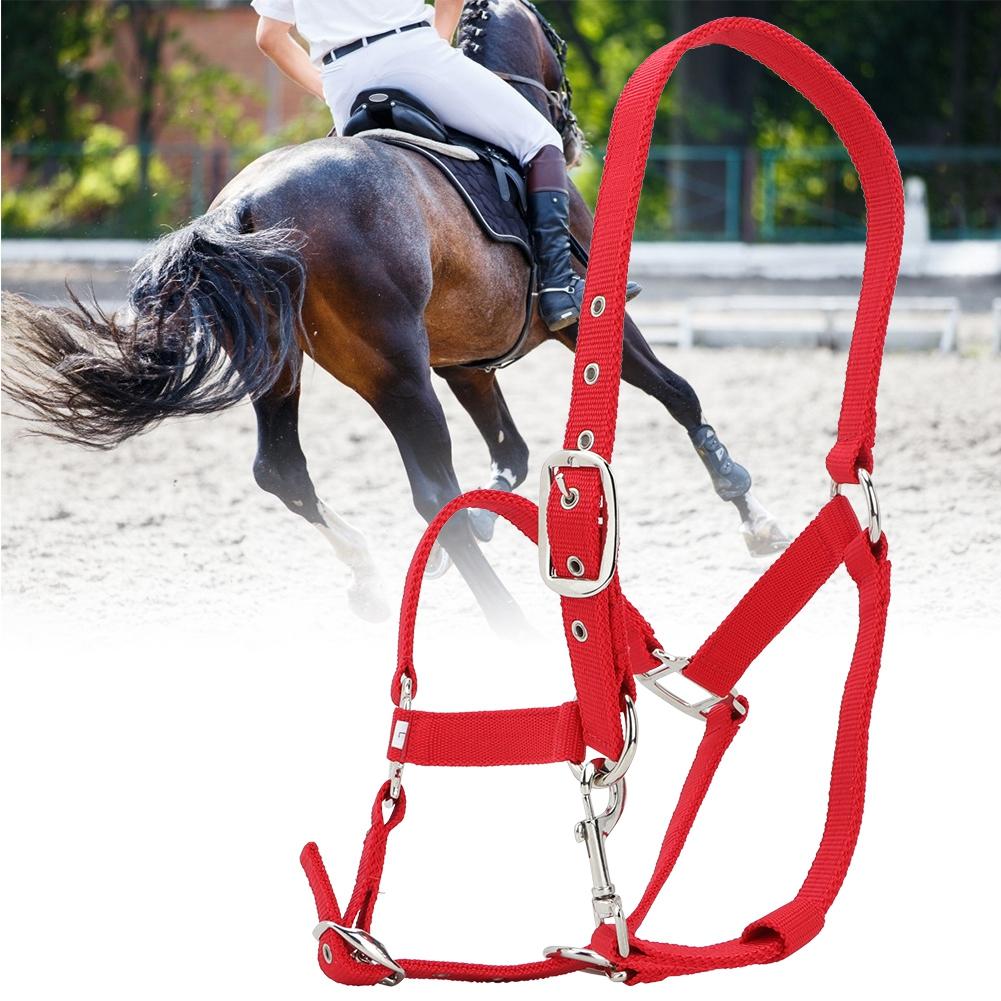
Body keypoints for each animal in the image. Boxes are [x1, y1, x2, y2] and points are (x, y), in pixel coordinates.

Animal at [1, 0, 788, 632]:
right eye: (559, 45)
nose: (568, 131)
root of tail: (243, 203)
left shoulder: (465, 363)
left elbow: (511, 454)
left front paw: (478, 526)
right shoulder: (579, 322)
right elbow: (679, 392)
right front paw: (750, 511)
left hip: (283, 366)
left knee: (284, 470)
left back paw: (372, 574)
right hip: (394, 373)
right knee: (428, 486)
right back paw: (510, 628)